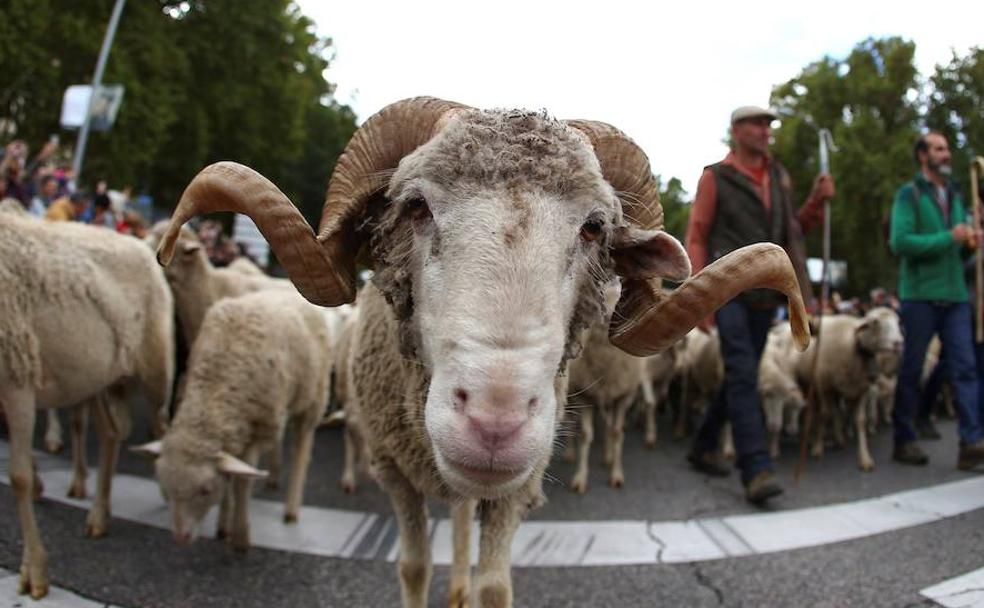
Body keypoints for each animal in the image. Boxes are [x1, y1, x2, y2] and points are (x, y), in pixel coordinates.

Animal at [0, 211, 175, 596]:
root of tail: (141, 244)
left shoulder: (18, 378)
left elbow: (18, 476)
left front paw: (35, 571)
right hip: (99, 377)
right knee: (110, 433)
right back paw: (99, 515)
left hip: (155, 366)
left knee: (161, 426)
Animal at [133, 288, 332, 548]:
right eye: (165, 486)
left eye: (205, 490)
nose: (180, 537)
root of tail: (285, 289)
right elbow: (230, 476)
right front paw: (223, 526)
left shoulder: (256, 429)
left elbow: (241, 482)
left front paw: (240, 536)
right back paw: (274, 474)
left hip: (312, 398)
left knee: (302, 447)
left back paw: (291, 508)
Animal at [158, 97, 812, 604]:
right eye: (414, 206)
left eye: (595, 227)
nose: (495, 422)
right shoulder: (394, 471)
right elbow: (414, 567)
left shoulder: (514, 491)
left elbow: (494, 586)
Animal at [796, 308, 904, 470]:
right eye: (875, 322)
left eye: (898, 321)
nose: (898, 343)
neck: (852, 344)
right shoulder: (825, 387)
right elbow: (824, 415)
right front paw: (818, 448)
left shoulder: (861, 390)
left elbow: (860, 421)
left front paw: (865, 458)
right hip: (810, 386)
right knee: (815, 411)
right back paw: (811, 438)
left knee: (836, 412)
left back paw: (840, 438)